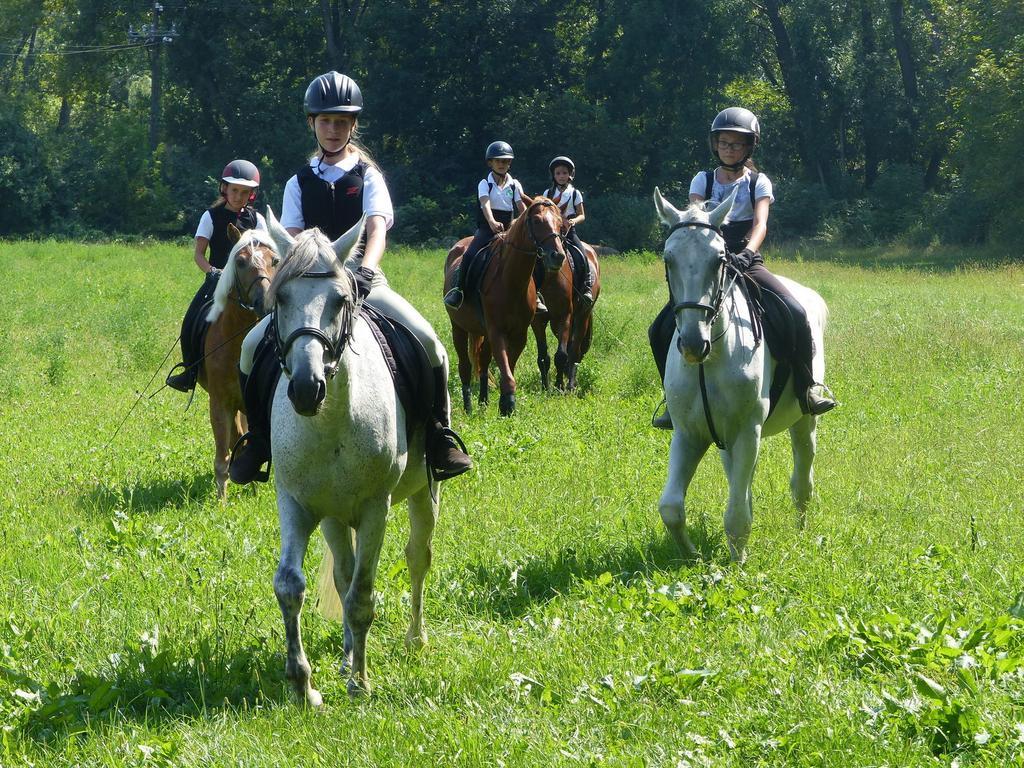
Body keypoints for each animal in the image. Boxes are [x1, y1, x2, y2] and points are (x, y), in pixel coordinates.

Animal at [197, 228, 278, 499]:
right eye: (240, 262)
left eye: (275, 260)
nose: (265, 301)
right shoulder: (220, 403)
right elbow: (224, 455)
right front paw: (221, 501)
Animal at [264, 210, 436, 704]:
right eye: (280, 297)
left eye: (340, 300)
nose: (306, 388)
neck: (332, 422)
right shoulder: (298, 504)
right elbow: (291, 585)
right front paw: (303, 683)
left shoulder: (376, 507)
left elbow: (363, 596)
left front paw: (360, 683)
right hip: (335, 519)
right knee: (343, 574)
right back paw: (343, 656)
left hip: (424, 494)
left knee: (418, 556)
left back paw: (414, 640)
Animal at [442, 196, 569, 415]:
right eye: (537, 221)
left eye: (560, 224)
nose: (558, 256)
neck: (511, 280)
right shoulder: (497, 331)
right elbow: (505, 370)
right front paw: (508, 404)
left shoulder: (519, 334)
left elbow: (507, 367)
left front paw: (504, 402)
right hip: (458, 327)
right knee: (465, 366)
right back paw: (468, 406)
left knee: (483, 362)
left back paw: (483, 401)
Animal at [651, 187, 827, 565]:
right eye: (668, 259)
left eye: (720, 259)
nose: (693, 343)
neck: (712, 357)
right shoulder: (689, 434)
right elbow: (671, 508)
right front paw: (693, 558)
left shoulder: (748, 431)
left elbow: (735, 516)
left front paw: (737, 564)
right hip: (725, 441)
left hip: (803, 421)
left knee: (802, 483)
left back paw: (802, 533)